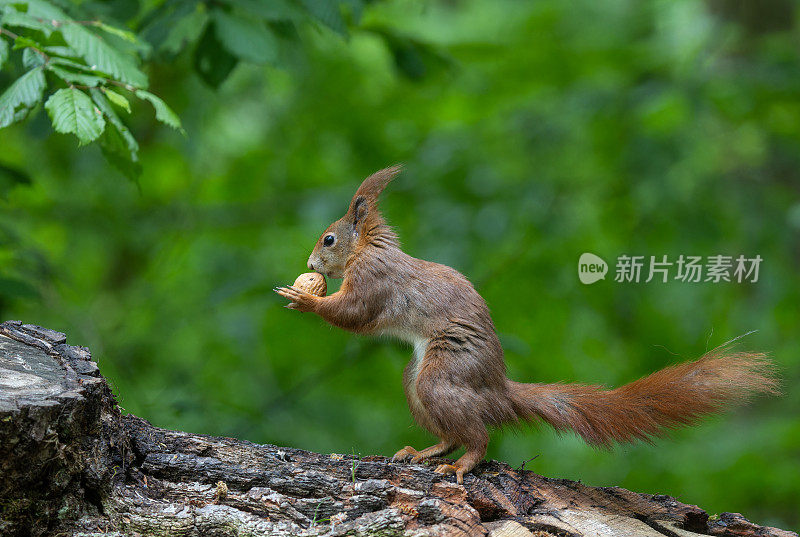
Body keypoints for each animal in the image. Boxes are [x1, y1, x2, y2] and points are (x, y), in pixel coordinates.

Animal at [276, 165, 780, 484]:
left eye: (329, 239)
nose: (310, 264)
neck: (368, 248)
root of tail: (497, 392)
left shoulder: (374, 280)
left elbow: (354, 312)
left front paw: (305, 297)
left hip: (442, 376)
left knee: (478, 438)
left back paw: (461, 465)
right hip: (417, 380)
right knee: (452, 433)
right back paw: (424, 452)